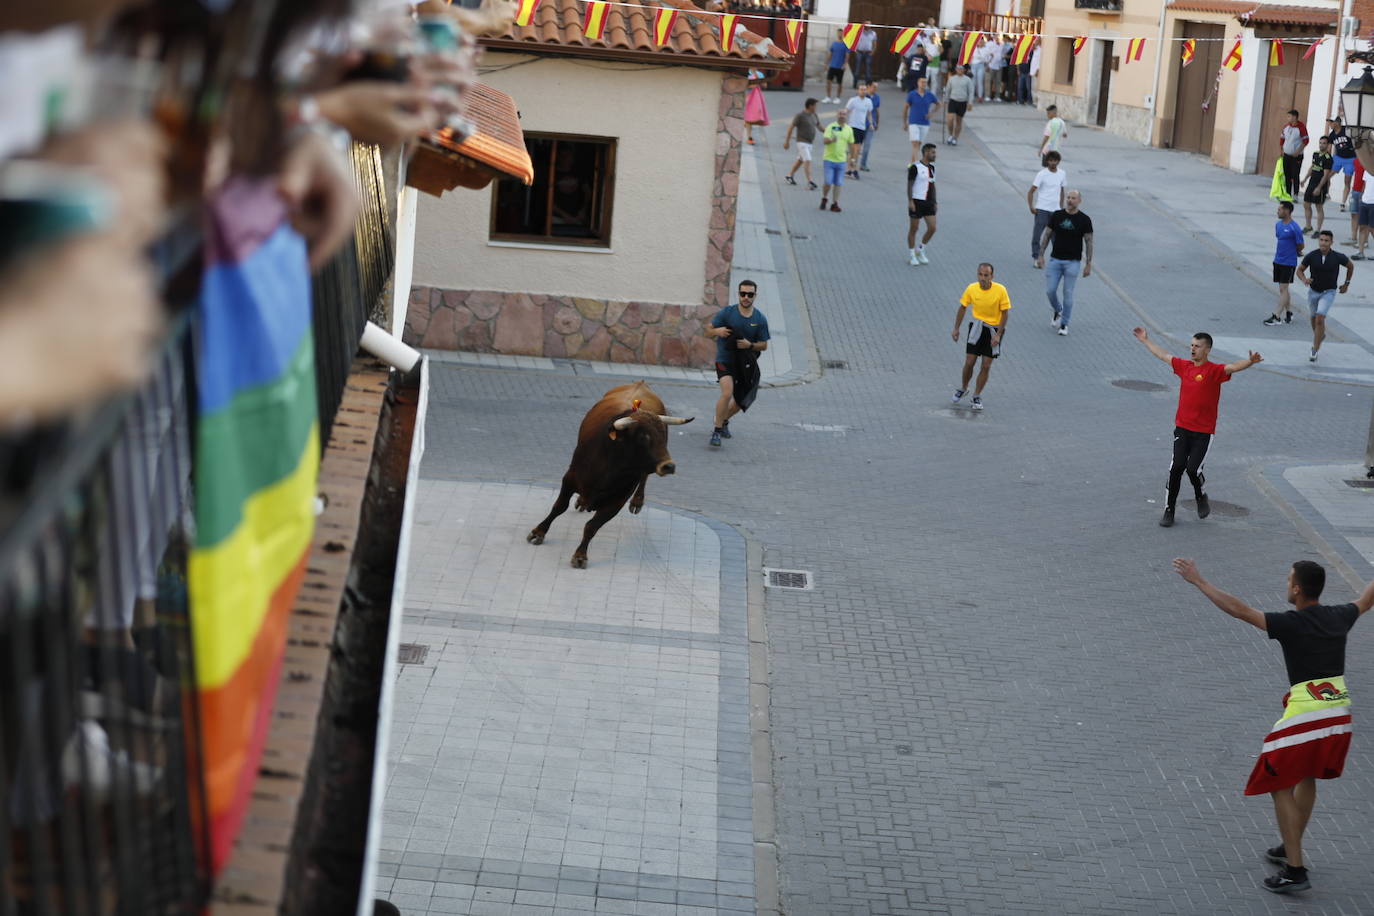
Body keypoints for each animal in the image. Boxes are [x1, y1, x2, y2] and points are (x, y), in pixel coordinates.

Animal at [530, 379, 692, 565]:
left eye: (664, 436)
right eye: (643, 437)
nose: (668, 466)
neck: (611, 466)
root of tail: (641, 383)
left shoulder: (618, 500)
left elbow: (592, 526)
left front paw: (580, 555)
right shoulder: (570, 479)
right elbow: (559, 507)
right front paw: (538, 532)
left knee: (644, 476)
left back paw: (637, 501)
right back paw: (581, 501)